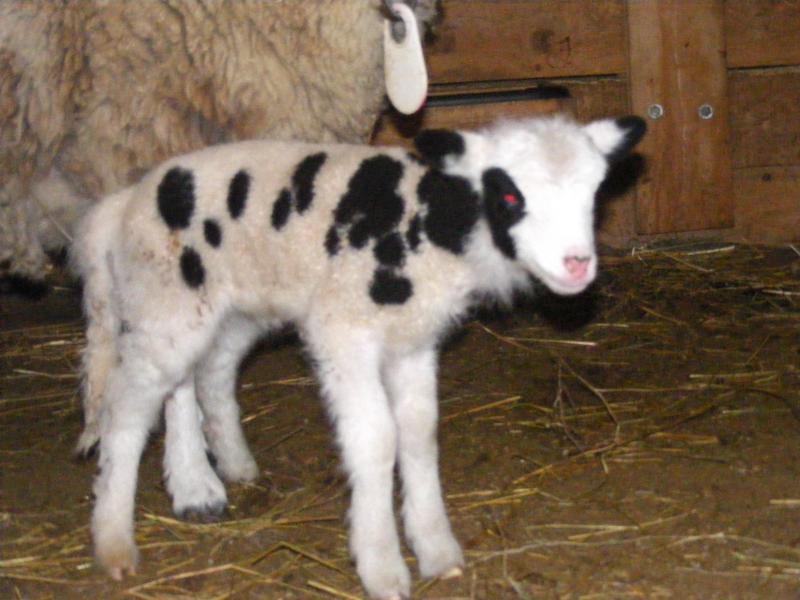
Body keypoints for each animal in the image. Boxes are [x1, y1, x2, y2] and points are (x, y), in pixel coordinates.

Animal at [73, 114, 645, 599]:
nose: (577, 265)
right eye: (508, 193)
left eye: (595, 192)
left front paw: (436, 549)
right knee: (128, 410)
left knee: (205, 373)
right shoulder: (344, 332)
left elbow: (419, 432)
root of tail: (124, 202)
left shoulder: (413, 341)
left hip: (227, 306)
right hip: (165, 298)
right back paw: (117, 538)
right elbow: (375, 439)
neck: (430, 222)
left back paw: (216, 474)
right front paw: (382, 565)